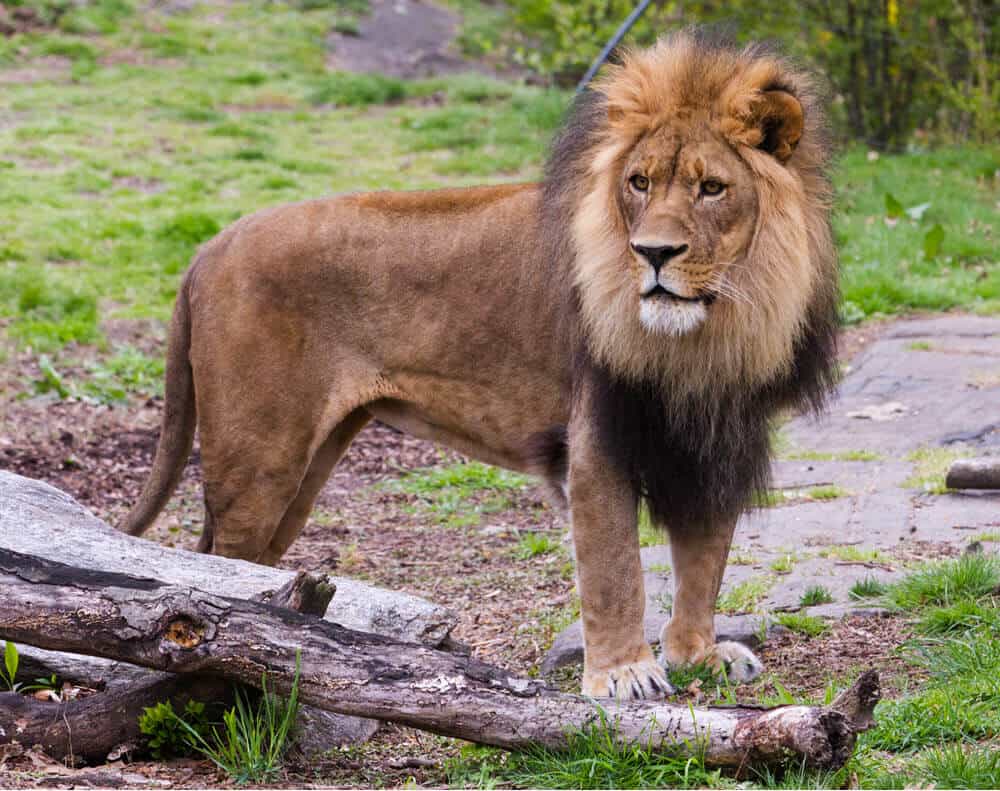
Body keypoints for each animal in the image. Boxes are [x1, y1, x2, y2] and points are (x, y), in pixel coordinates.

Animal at [127, 31, 844, 700]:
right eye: (639, 183)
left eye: (712, 188)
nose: (654, 253)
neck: (709, 334)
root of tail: (208, 247)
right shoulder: (597, 440)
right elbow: (615, 569)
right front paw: (623, 675)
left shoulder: (719, 437)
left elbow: (704, 560)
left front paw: (698, 654)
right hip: (260, 461)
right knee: (214, 566)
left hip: (306, 466)